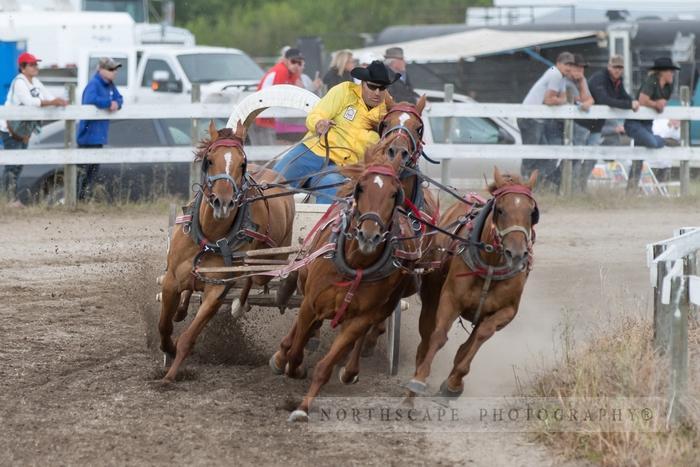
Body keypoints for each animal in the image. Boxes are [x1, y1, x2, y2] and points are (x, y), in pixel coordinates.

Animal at [160, 121, 294, 384]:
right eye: (210, 160)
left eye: (242, 163)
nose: (223, 202)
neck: (211, 236)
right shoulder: (170, 280)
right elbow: (164, 326)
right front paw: (167, 348)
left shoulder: (217, 290)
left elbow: (188, 337)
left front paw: (171, 374)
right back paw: (183, 309)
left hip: (267, 264)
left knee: (253, 280)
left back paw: (241, 304)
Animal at [270, 154, 418, 424]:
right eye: (361, 187)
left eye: (395, 193)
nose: (369, 235)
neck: (355, 264)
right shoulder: (311, 303)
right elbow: (296, 350)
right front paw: (291, 364)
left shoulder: (360, 318)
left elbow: (325, 366)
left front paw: (302, 408)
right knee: (301, 329)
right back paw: (284, 354)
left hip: (381, 307)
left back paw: (349, 370)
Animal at [402, 167, 540, 398]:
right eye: (500, 210)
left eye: (532, 213)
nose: (517, 254)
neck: (491, 265)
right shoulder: (450, 299)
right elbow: (439, 336)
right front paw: (419, 380)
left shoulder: (507, 311)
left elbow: (479, 338)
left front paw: (453, 383)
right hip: (431, 298)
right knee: (426, 337)